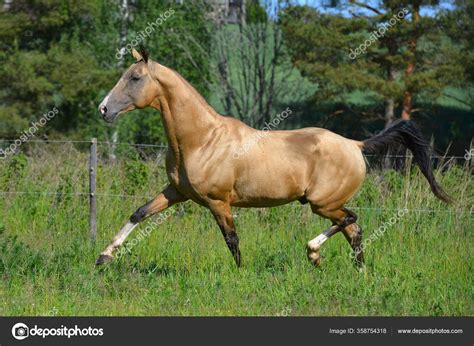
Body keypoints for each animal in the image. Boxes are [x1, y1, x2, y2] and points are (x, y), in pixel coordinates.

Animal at [94, 46, 450, 268]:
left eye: (135, 78)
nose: (104, 109)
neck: (202, 140)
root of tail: (356, 145)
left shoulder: (217, 202)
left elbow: (232, 240)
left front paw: (240, 275)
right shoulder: (177, 192)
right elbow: (139, 213)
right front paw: (104, 257)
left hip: (322, 203)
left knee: (350, 219)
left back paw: (313, 253)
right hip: (326, 205)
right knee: (355, 230)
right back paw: (355, 272)